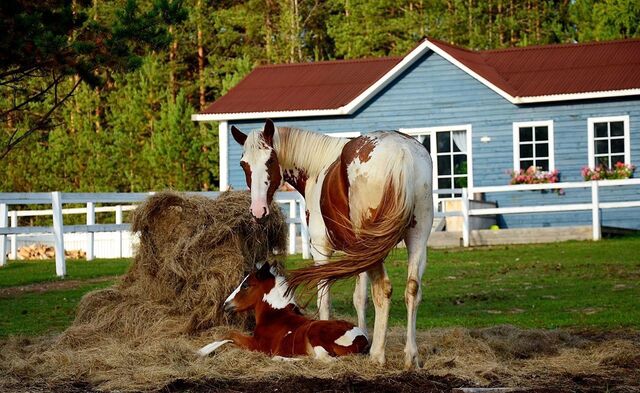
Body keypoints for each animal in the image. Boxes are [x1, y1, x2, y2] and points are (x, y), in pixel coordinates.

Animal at [200, 262, 370, 360]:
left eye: (246, 285)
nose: (225, 304)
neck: (275, 315)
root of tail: (362, 339)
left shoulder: (258, 346)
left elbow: (230, 334)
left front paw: (202, 351)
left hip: (315, 332)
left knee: (322, 358)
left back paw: (281, 357)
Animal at [230, 117, 436, 368]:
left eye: (270, 160)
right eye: (244, 164)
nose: (258, 211)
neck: (318, 168)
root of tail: (402, 153)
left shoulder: (321, 250)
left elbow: (324, 298)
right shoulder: (356, 256)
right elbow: (360, 298)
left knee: (383, 289)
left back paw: (378, 355)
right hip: (416, 238)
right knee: (412, 289)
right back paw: (410, 356)